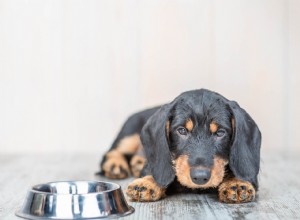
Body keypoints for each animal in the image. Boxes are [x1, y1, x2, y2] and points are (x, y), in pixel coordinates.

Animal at [98, 88, 260, 204]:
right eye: (181, 130)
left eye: (220, 133)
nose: (200, 177)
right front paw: (147, 182)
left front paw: (237, 183)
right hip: (129, 135)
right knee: (111, 152)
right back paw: (115, 165)